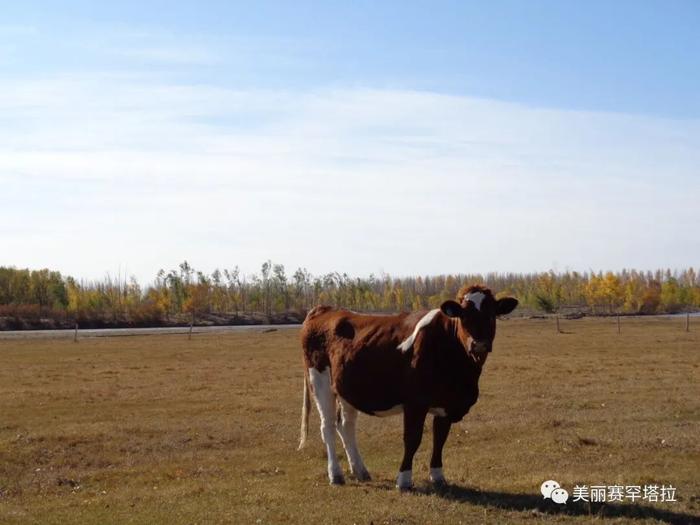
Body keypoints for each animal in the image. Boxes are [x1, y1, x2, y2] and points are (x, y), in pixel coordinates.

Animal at [298, 284, 516, 490]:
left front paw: (438, 476)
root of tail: (325, 309)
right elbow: (412, 439)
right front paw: (403, 479)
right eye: (463, 315)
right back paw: (335, 475)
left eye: (491, 314)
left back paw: (360, 471)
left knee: (346, 426)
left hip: (346, 389)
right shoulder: (415, 403)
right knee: (328, 426)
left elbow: (440, 438)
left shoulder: (446, 405)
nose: (479, 344)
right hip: (319, 379)